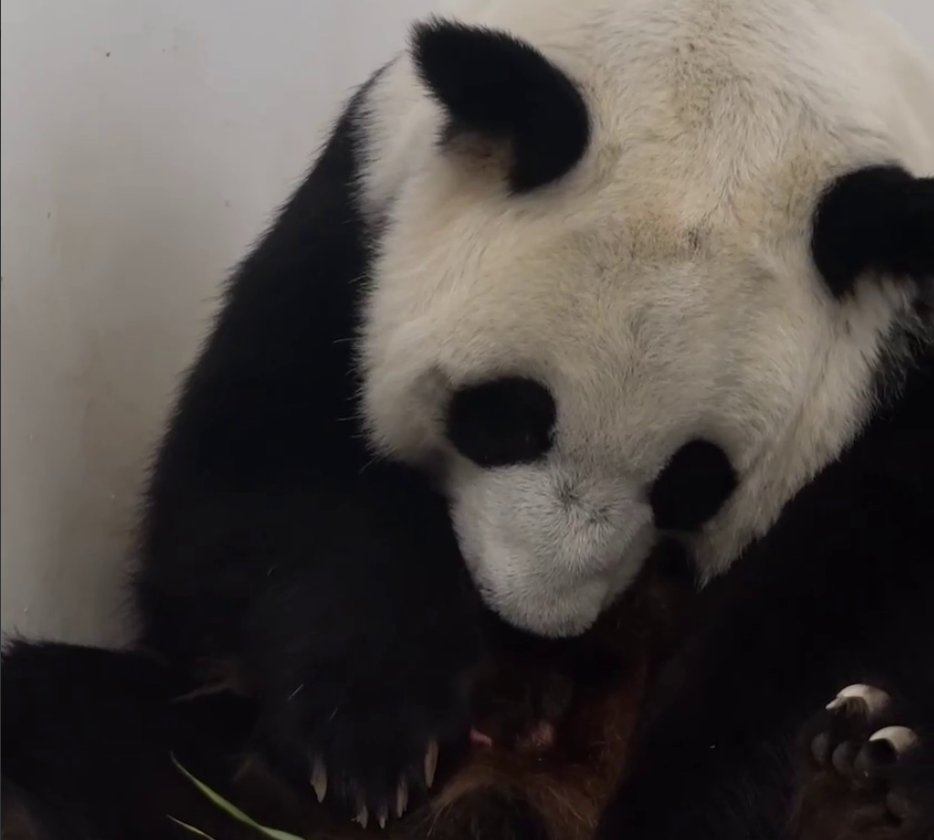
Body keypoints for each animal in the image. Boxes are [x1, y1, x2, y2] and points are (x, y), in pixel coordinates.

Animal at [5, 0, 934, 836]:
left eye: (692, 484)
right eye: (506, 418)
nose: (531, 623)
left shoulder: (902, 376)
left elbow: (838, 603)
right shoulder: (357, 222)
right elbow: (237, 495)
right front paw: (368, 735)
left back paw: (853, 794)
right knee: (71, 731)